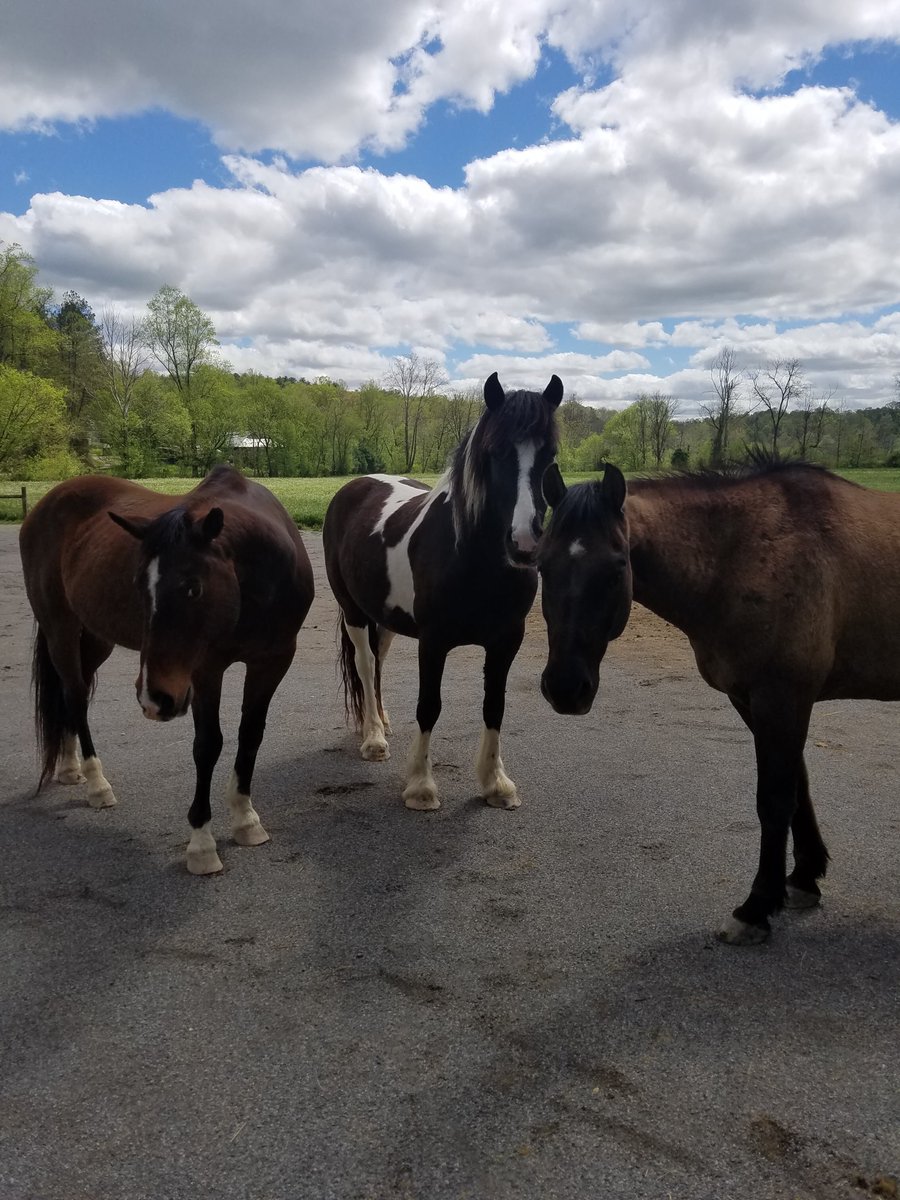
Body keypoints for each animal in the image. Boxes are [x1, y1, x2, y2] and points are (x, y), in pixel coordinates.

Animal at [19, 465, 314, 875]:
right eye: (137, 586)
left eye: (194, 588)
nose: (153, 699)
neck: (260, 580)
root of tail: (44, 505)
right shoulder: (206, 671)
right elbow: (208, 745)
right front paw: (202, 844)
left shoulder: (272, 662)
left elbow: (251, 735)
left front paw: (245, 819)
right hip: (59, 627)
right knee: (75, 697)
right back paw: (97, 784)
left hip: (95, 637)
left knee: (68, 695)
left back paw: (69, 767)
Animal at [322, 371, 562, 811]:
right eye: (495, 451)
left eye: (549, 453)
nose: (524, 542)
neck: (472, 559)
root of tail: (355, 486)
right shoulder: (432, 641)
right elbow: (428, 706)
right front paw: (420, 785)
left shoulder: (507, 641)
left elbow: (494, 705)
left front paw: (496, 783)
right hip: (354, 612)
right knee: (365, 664)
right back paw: (373, 738)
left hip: (385, 617)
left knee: (378, 664)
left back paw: (381, 722)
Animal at [537, 458, 900, 945]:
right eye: (542, 566)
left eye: (616, 568)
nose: (564, 688)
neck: (743, 556)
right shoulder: (752, 701)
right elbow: (798, 787)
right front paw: (804, 878)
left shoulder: (781, 699)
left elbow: (774, 799)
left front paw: (755, 907)